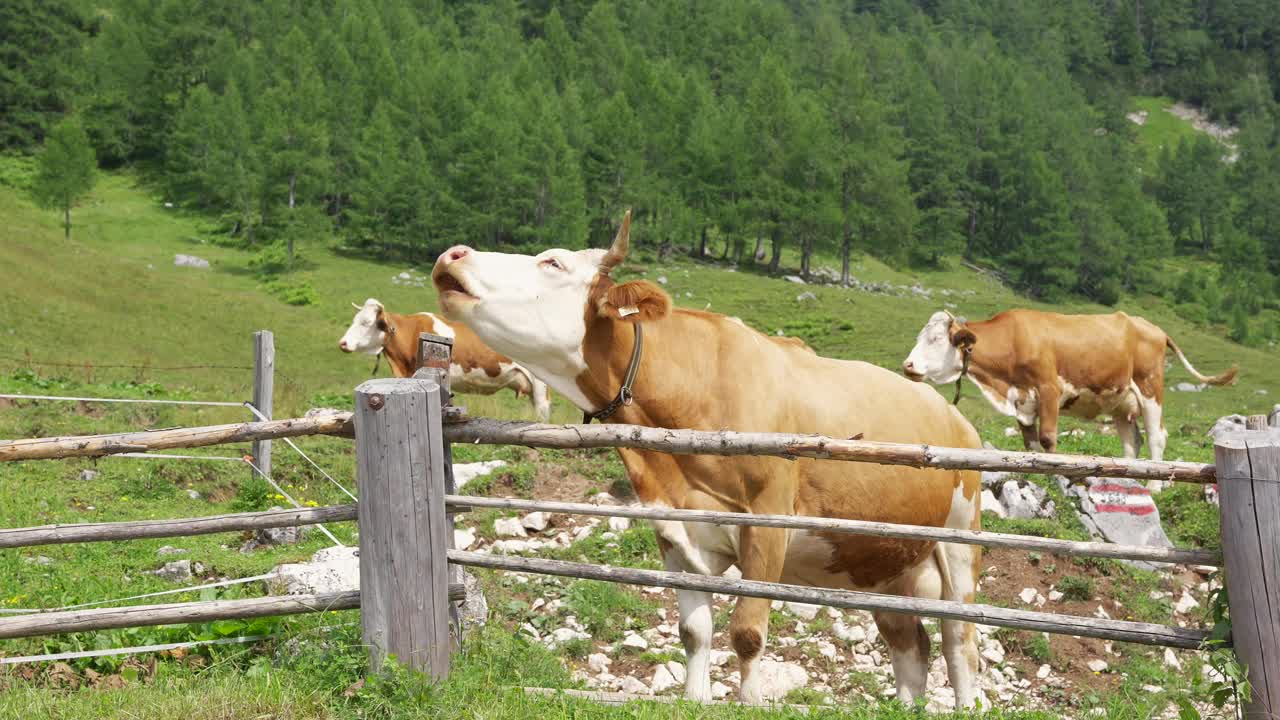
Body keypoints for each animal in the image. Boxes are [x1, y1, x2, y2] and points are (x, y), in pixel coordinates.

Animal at [432, 212, 986, 707]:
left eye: (553, 262)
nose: (452, 253)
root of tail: (957, 419)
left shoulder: (768, 523)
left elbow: (747, 633)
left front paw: (748, 701)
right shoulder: (674, 527)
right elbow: (695, 630)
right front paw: (695, 698)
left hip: (959, 541)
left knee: (960, 643)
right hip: (883, 562)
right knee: (910, 643)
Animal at [902, 309, 1237, 489]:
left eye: (936, 339)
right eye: (918, 337)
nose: (908, 365)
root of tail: (1151, 327)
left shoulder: (1049, 389)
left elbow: (1048, 439)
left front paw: (1057, 476)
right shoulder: (1024, 402)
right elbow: (1030, 444)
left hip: (1149, 387)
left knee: (1156, 436)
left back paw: (1154, 484)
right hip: (1121, 400)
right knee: (1132, 441)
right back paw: (1127, 479)